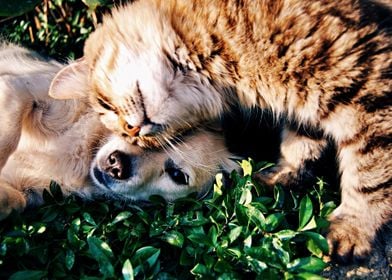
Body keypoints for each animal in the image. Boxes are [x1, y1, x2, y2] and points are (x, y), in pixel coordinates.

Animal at [49, 0, 392, 264]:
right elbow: (300, 146)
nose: (133, 130)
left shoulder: (366, 88)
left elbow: (369, 177)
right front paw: (280, 177)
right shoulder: (306, 105)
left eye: (106, 106)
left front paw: (353, 229)